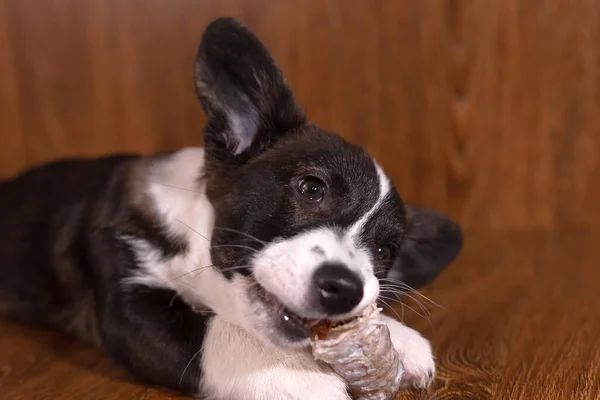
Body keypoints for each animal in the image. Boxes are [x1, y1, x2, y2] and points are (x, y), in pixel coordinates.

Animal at [0, 18, 464, 400]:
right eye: (311, 188)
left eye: (385, 252)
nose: (346, 288)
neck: (198, 257)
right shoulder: (130, 305)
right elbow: (214, 332)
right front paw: (294, 375)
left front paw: (398, 337)